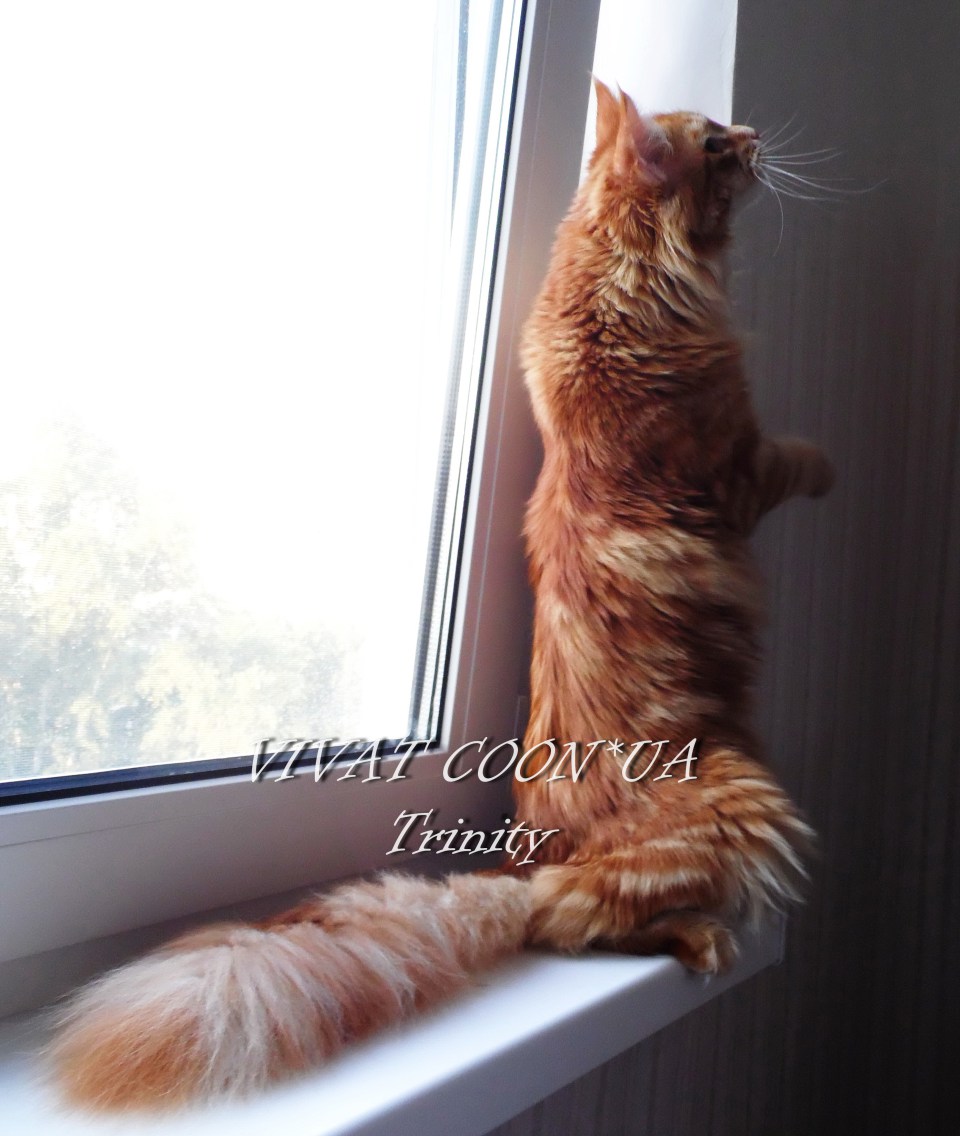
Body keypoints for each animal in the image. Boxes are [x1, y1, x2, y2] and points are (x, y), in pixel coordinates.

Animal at [46, 81, 832, 1111]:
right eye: (713, 143)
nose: (753, 133)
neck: (614, 282)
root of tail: (522, 862)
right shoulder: (735, 465)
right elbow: (792, 458)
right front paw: (832, 468)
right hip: (746, 800)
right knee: (576, 923)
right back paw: (701, 936)